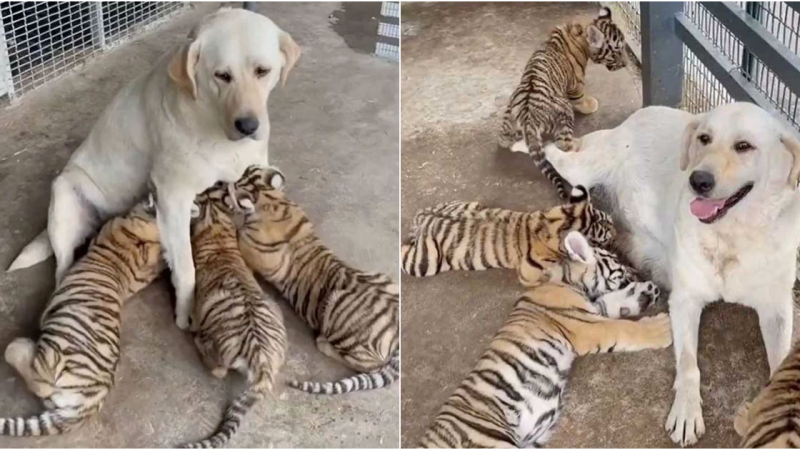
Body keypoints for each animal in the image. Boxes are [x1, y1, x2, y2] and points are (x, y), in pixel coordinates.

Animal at [7, 7, 300, 330]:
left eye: (263, 71)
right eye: (222, 76)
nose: (248, 126)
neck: (210, 121)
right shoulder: (172, 196)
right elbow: (186, 269)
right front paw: (186, 312)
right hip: (63, 197)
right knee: (62, 269)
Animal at [544, 103, 800, 446]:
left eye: (744, 146)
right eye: (704, 138)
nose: (698, 180)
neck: (731, 234)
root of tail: (638, 116)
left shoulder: (777, 309)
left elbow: (781, 365)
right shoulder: (685, 300)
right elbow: (689, 364)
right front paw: (687, 412)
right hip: (580, 169)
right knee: (555, 156)